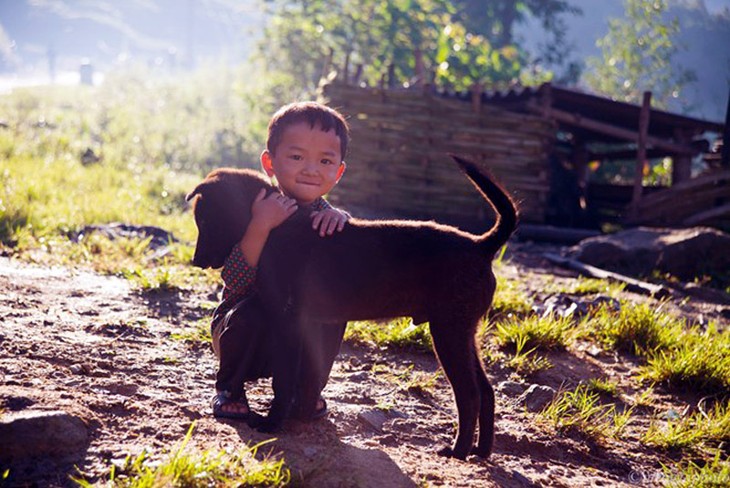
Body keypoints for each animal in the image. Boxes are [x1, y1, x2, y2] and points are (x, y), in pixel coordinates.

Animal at [188, 154, 516, 460]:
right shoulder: (302, 323)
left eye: (205, 220)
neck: (277, 227)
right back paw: (482, 450)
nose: (196, 261)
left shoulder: (288, 321)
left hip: (449, 330)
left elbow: (284, 378)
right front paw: (298, 415)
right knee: (486, 390)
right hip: (463, 331)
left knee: (469, 393)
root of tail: (481, 245)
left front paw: (273, 423)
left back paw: (458, 451)